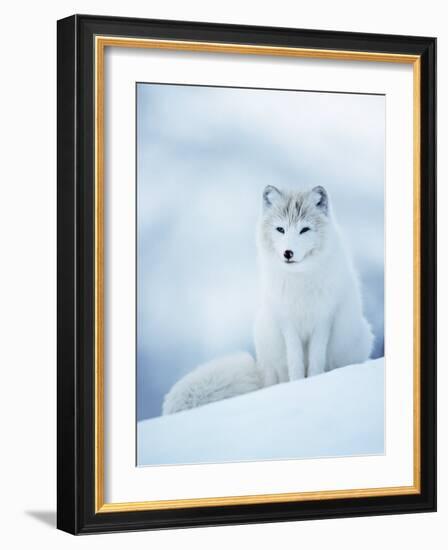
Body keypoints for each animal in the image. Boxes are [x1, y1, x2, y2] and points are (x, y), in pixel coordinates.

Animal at [163, 188, 372, 416]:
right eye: (280, 229)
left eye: (304, 229)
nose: (288, 253)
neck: (299, 280)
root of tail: (259, 372)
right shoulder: (287, 322)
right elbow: (295, 361)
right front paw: (298, 385)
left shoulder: (323, 320)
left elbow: (316, 360)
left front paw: (313, 382)